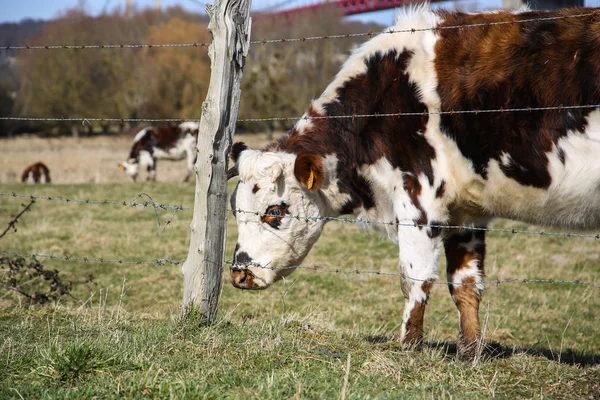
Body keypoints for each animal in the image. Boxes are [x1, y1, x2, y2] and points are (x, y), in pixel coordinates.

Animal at [227, 6, 600, 360]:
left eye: (275, 211)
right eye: (235, 210)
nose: (238, 273)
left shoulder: (418, 198)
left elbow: (414, 279)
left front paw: (408, 347)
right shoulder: (465, 214)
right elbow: (465, 284)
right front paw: (469, 353)